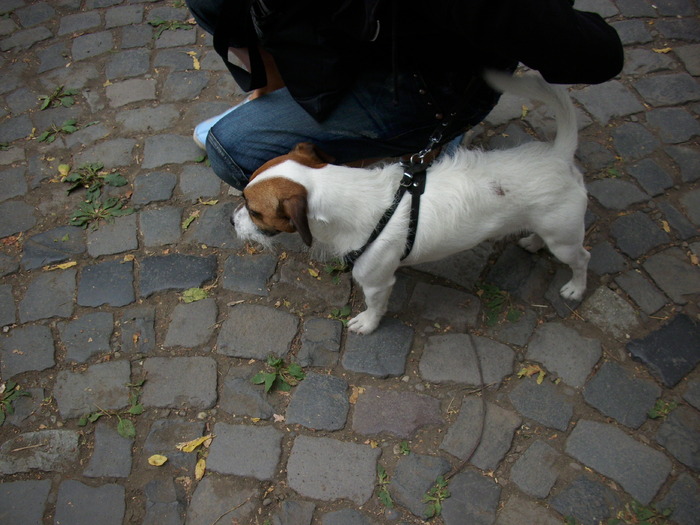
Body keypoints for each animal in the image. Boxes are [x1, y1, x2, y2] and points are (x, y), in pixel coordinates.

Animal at [234, 71, 592, 334]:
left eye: (254, 211)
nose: (230, 221)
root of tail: (559, 156)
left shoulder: (377, 282)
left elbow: (375, 305)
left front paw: (367, 324)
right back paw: (532, 241)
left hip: (564, 239)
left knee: (582, 258)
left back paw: (576, 287)